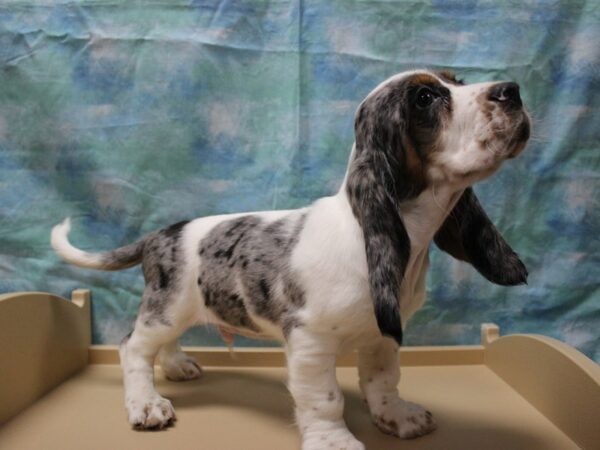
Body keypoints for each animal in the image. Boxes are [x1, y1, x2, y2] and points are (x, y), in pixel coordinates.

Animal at [51, 69, 528, 450]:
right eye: (426, 98)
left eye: (458, 81)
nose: (512, 90)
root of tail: (159, 234)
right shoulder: (310, 343)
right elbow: (325, 400)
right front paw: (335, 442)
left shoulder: (383, 336)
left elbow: (383, 381)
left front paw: (398, 417)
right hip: (165, 310)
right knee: (132, 347)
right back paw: (146, 404)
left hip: (177, 312)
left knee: (162, 345)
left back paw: (177, 366)